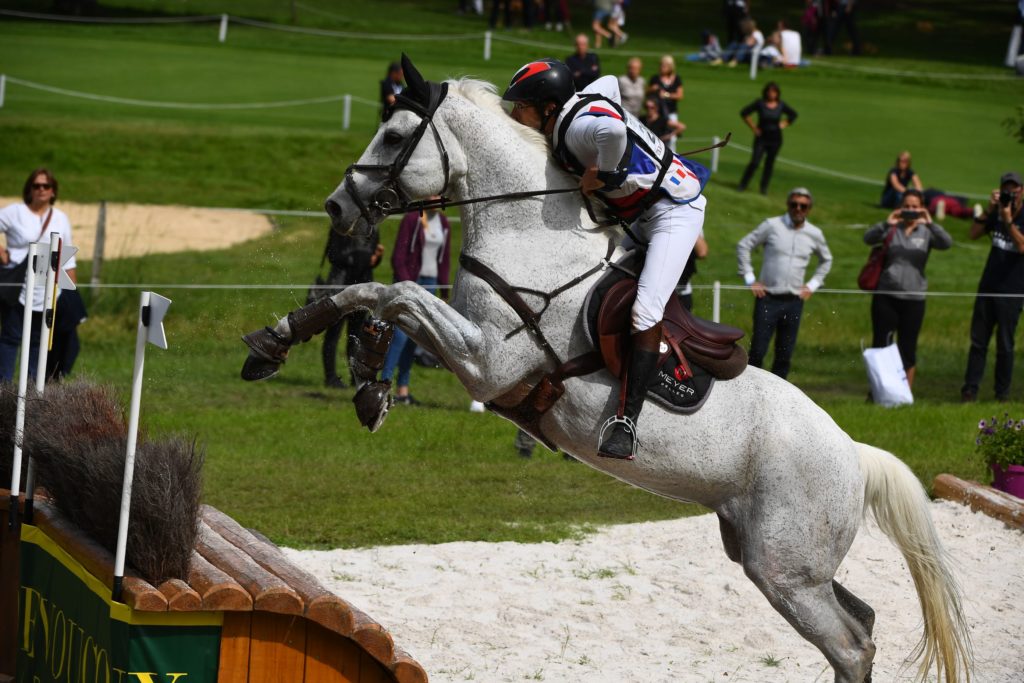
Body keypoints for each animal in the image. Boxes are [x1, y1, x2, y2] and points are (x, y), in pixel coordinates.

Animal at [239, 60, 966, 683]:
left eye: (393, 133)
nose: (337, 207)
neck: (528, 232)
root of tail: (856, 452)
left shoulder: (488, 360)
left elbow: (395, 293)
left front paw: (337, 362)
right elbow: (373, 293)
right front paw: (309, 354)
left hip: (786, 570)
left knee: (851, 644)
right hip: (778, 559)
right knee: (862, 622)